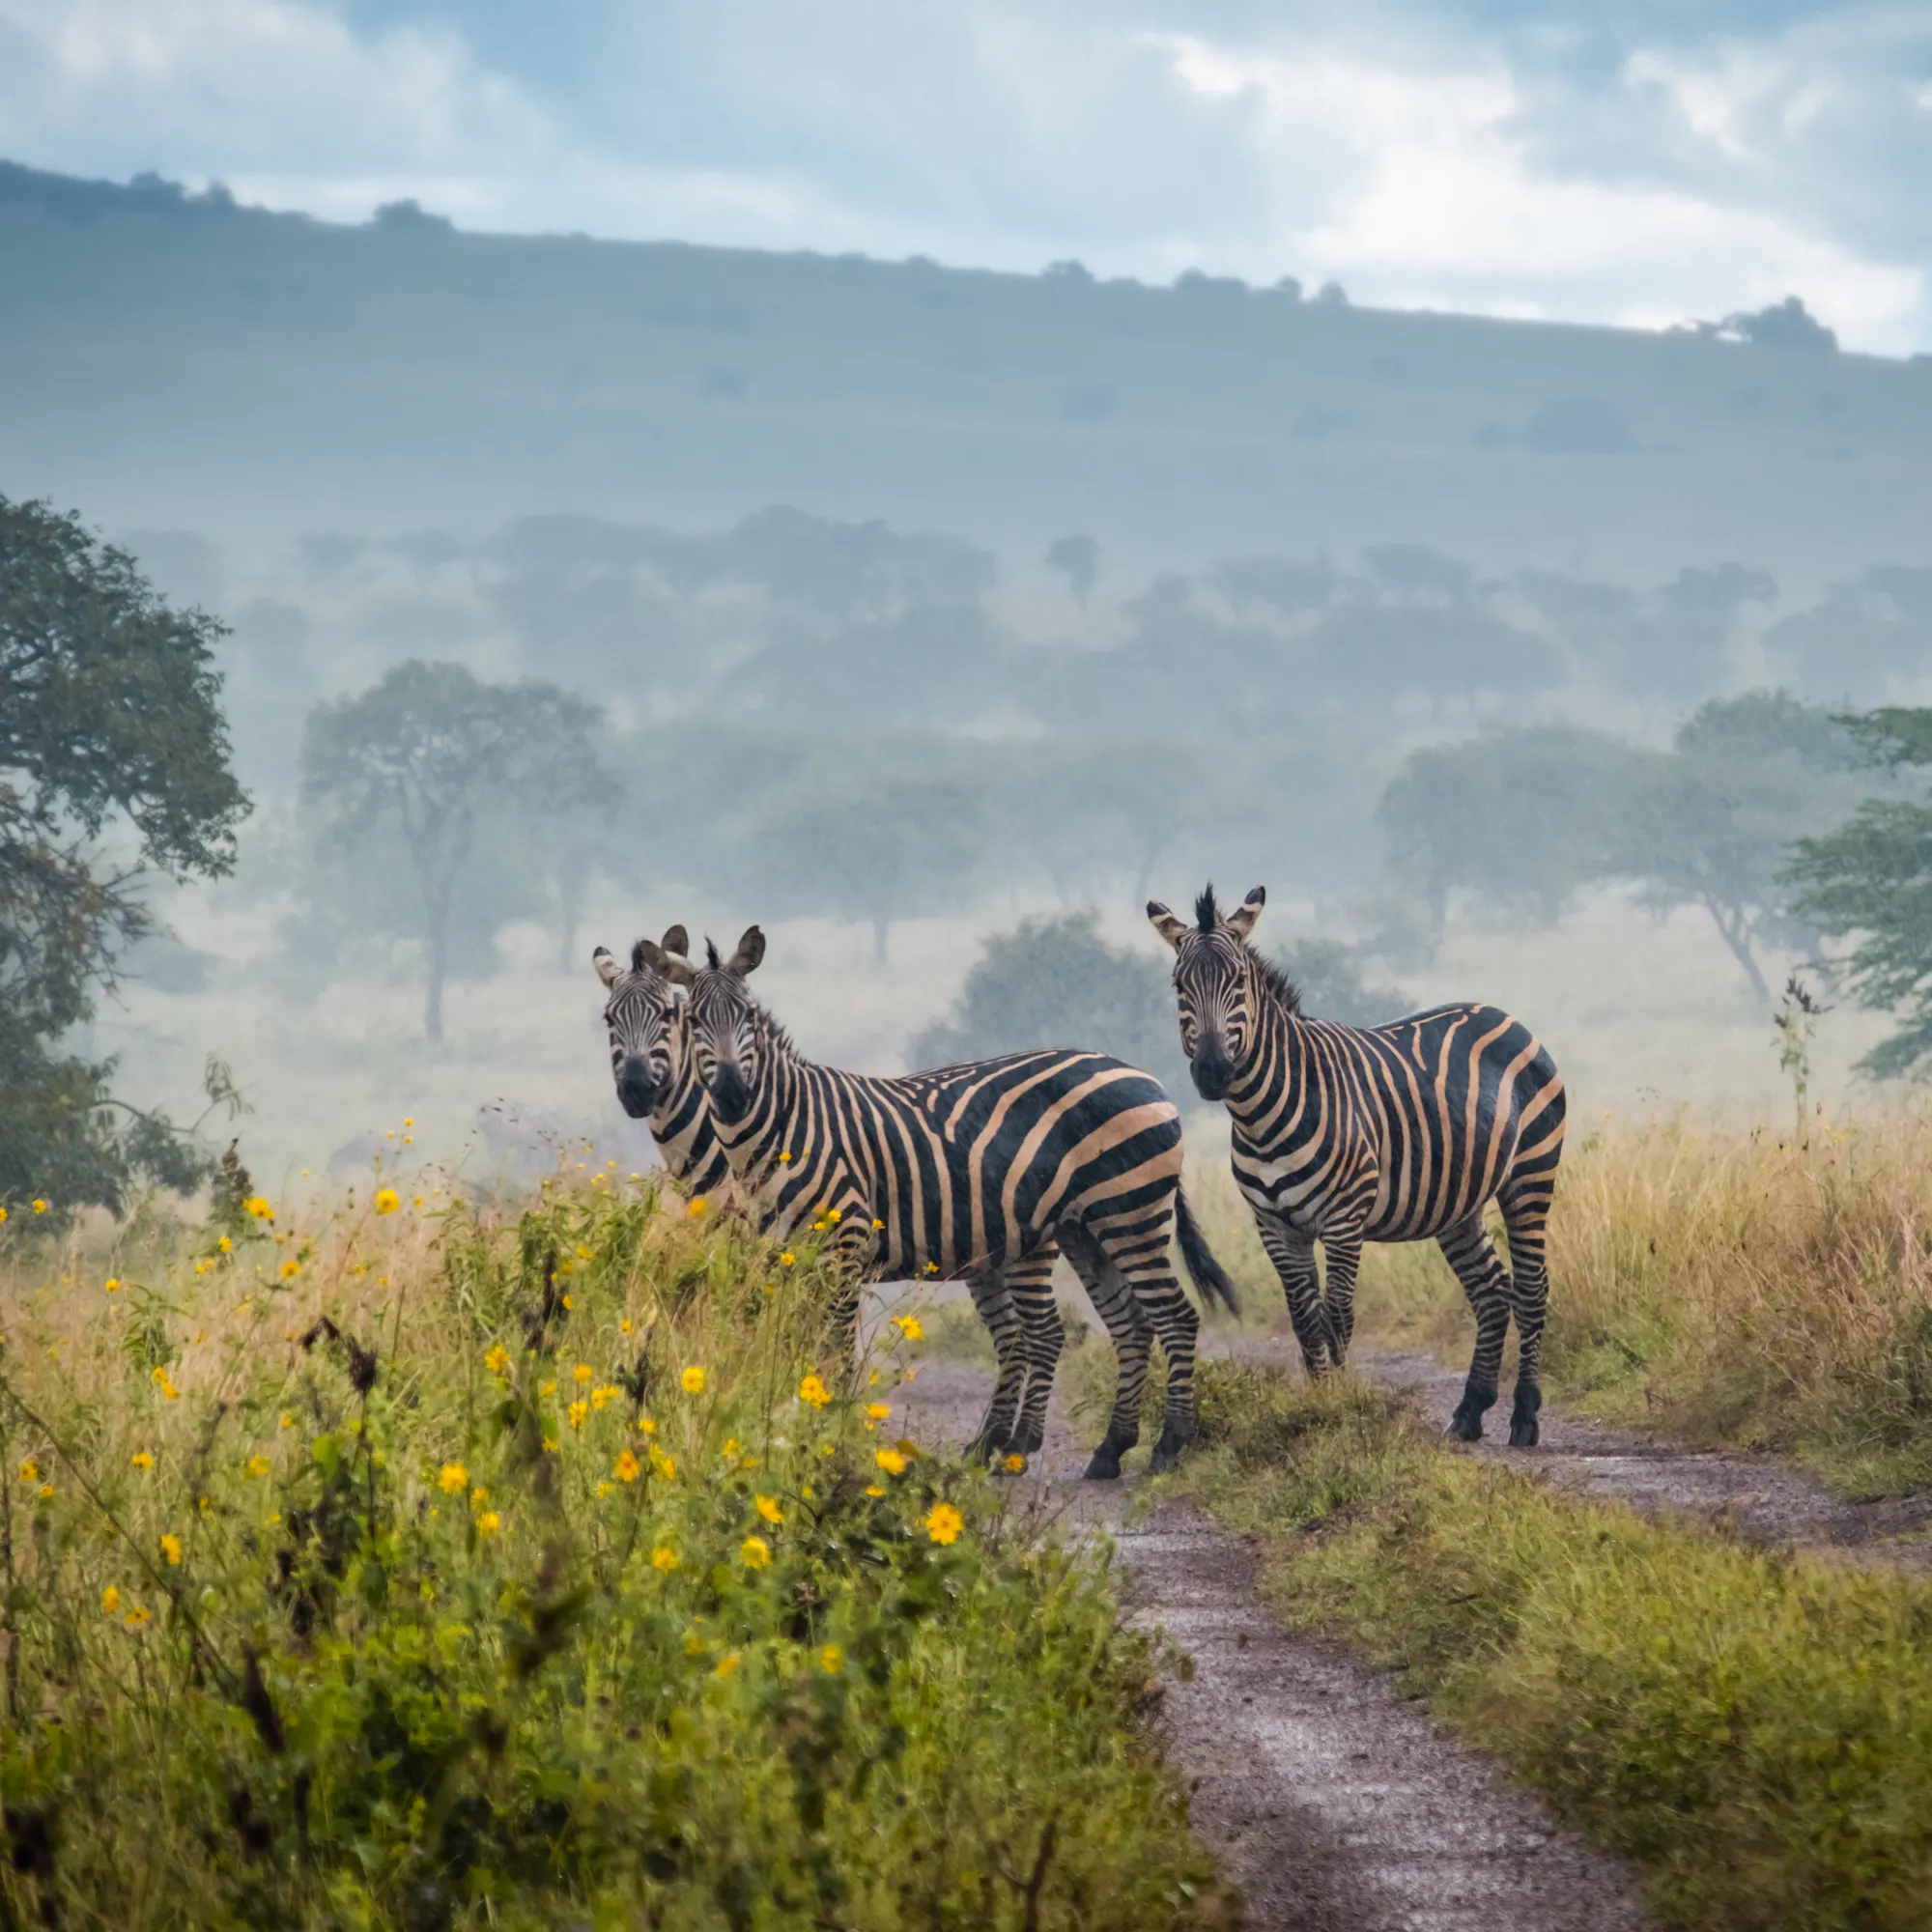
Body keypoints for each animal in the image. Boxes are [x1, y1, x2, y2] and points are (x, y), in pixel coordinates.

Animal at [642, 924, 1240, 1477]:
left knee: (1174, 1316)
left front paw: (831, 1433)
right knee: (1130, 1323)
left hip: (1129, 1213)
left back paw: (1166, 1446)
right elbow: (799, 1344)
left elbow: (834, 1348)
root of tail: (1144, 1076)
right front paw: (804, 1427)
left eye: (747, 1016)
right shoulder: (787, 1257)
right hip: (1084, 1230)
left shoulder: (845, 1244)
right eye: (693, 1022)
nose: (732, 1095)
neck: (786, 1126)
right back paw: (1108, 1450)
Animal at [1148, 884, 1565, 1447]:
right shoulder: (1275, 1226)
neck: (1262, 1114)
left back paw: (1523, 1416)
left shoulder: (1344, 1220)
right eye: (1179, 985)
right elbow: (1304, 1319)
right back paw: (1470, 1410)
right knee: (1493, 1290)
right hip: (1459, 1204)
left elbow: (1337, 1315)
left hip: (1529, 1178)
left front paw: (1341, 1410)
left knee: (1531, 1288)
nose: (1213, 1071)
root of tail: (1503, 1015)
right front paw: (1317, 1404)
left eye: (1238, 983)